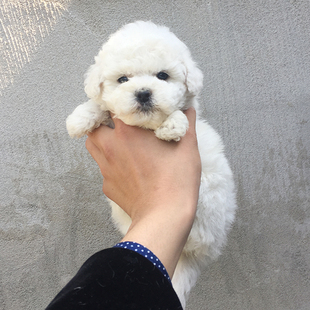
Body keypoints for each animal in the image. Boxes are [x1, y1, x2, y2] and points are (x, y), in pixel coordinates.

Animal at [66, 21, 237, 308]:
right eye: (123, 79)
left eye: (162, 76)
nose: (143, 93)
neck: (145, 127)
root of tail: (193, 256)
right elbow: (99, 105)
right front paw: (79, 118)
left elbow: (180, 113)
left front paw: (172, 125)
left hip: (210, 200)